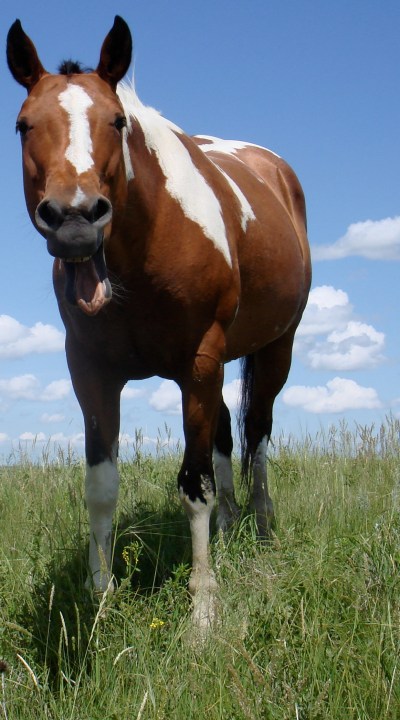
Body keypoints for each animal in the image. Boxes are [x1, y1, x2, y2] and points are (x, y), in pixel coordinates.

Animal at [7, 16, 311, 635]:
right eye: (24, 125)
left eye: (116, 120)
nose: (75, 220)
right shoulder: (92, 373)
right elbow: (102, 488)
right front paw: (100, 600)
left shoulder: (198, 363)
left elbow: (193, 484)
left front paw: (203, 611)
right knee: (226, 434)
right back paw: (229, 526)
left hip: (275, 349)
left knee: (257, 434)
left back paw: (263, 528)